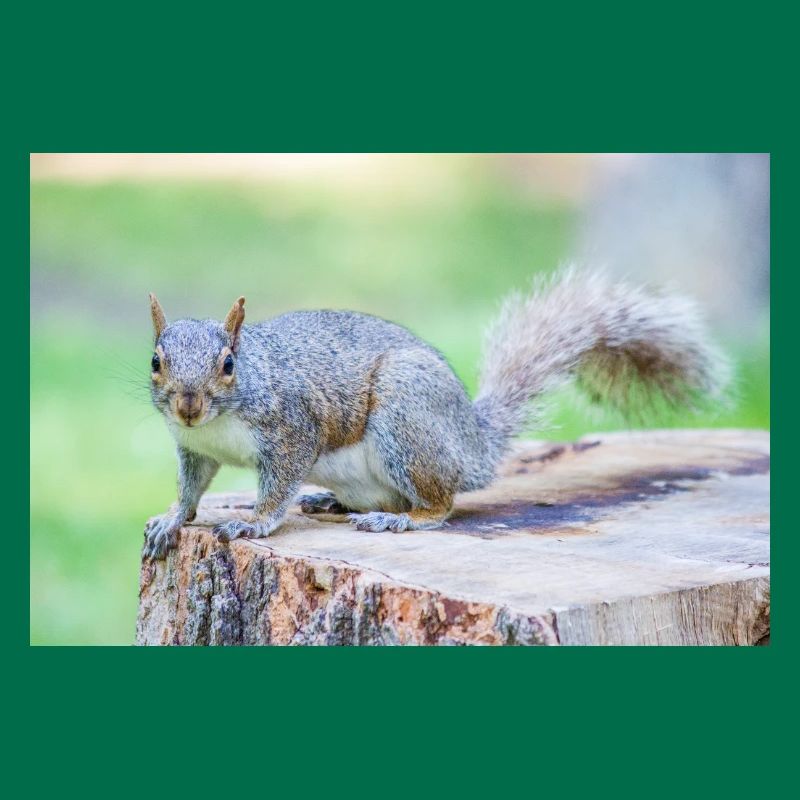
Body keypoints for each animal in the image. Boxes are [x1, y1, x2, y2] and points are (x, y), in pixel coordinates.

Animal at [143, 269, 729, 559]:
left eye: (228, 364)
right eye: (155, 361)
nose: (188, 405)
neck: (219, 423)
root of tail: (473, 444)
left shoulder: (293, 431)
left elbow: (277, 485)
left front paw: (253, 523)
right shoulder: (193, 449)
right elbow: (192, 489)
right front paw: (171, 519)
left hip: (407, 419)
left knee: (441, 504)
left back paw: (400, 518)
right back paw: (331, 501)